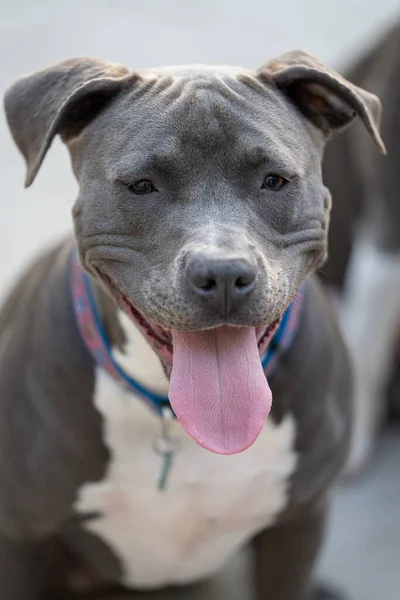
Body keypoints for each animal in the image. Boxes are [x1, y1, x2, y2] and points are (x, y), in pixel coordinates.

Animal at [0, 52, 384, 600]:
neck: (175, 421)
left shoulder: (299, 525)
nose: (223, 274)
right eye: (142, 185)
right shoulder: (21, 539)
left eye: (274, 180)